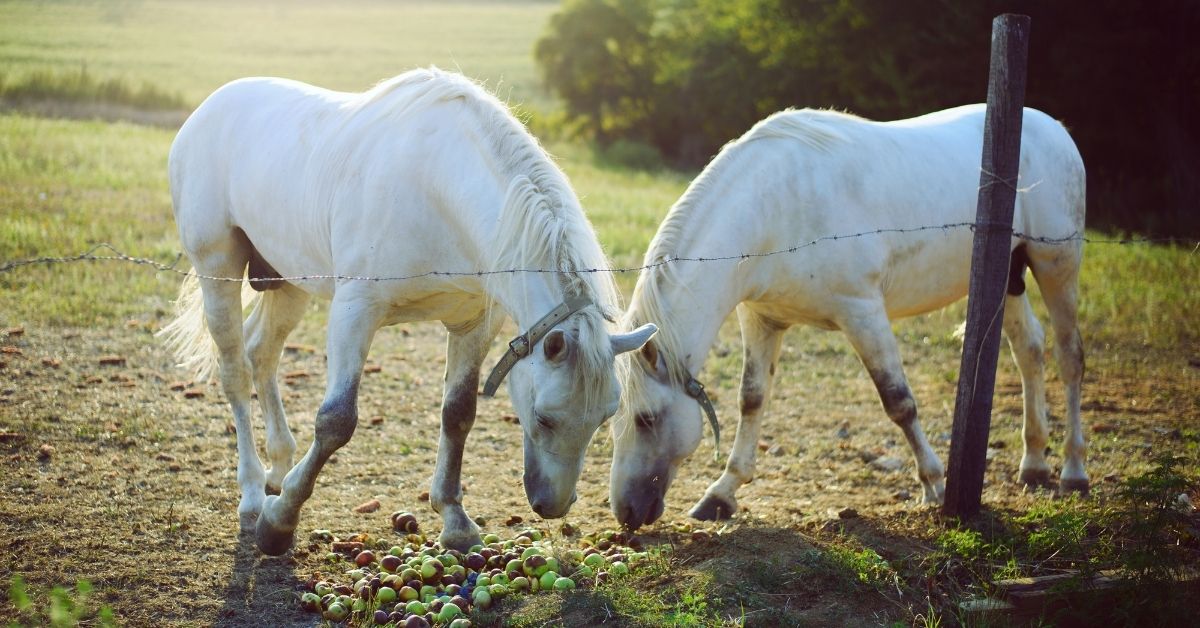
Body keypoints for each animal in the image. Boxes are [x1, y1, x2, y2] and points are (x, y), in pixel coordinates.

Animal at [160, 66, 657, 552]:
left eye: (606, 416)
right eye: (543, 417)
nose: (553, 505)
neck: (438, 189)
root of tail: (209, 107)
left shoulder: (474, 323)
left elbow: (458, 414)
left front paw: (456, 522)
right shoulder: (355, 310)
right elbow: (336, 421)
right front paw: (279, 523)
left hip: (289, 283)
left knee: (261, 353)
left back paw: (278, 469)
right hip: (217, 271)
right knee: (235, 371)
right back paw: (250, 496)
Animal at [609, 105, 1089, 528]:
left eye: (646, 418)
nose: (625, 512)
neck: (775, 207)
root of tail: (1054, 128)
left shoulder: (863, 312)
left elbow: (899, 401)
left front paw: (934, 486)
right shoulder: (762, 319)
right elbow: (752, 399)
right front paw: (721, 494)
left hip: (1057, 265)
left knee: (1069, 357)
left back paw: (1073, 471)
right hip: (1005, 279)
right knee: (1028, 348)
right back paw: (1033, 464)